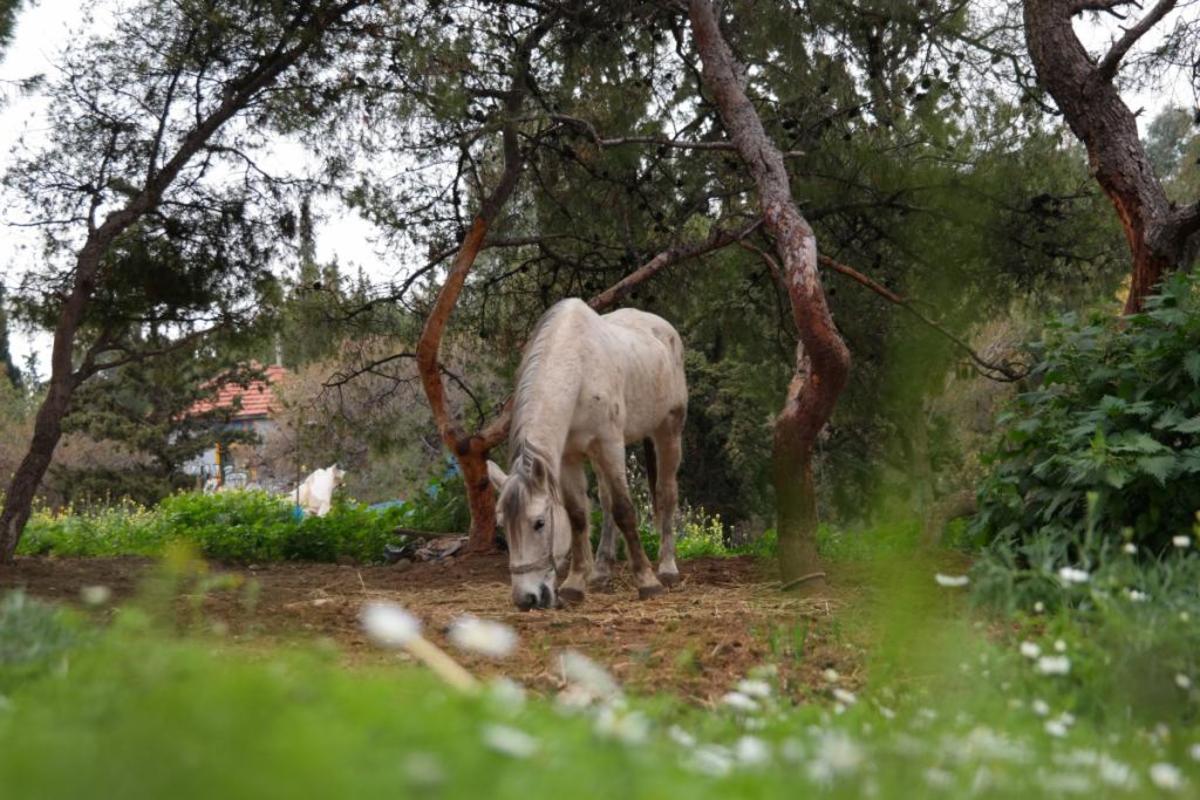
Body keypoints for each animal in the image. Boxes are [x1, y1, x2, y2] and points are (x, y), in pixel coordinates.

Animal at [484, 298, 686, 606]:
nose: (526, 598)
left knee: (665, 493)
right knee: (605, 500)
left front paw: (647, 581)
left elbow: (625, 510)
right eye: (502, 526)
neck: (579, 369)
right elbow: (579, 515)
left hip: (668, 432)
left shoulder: (610, 445)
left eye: (539, 523)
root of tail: (663, 328)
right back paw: (601, 571)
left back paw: (667, 568)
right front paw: (576, 583)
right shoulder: (569, 457)